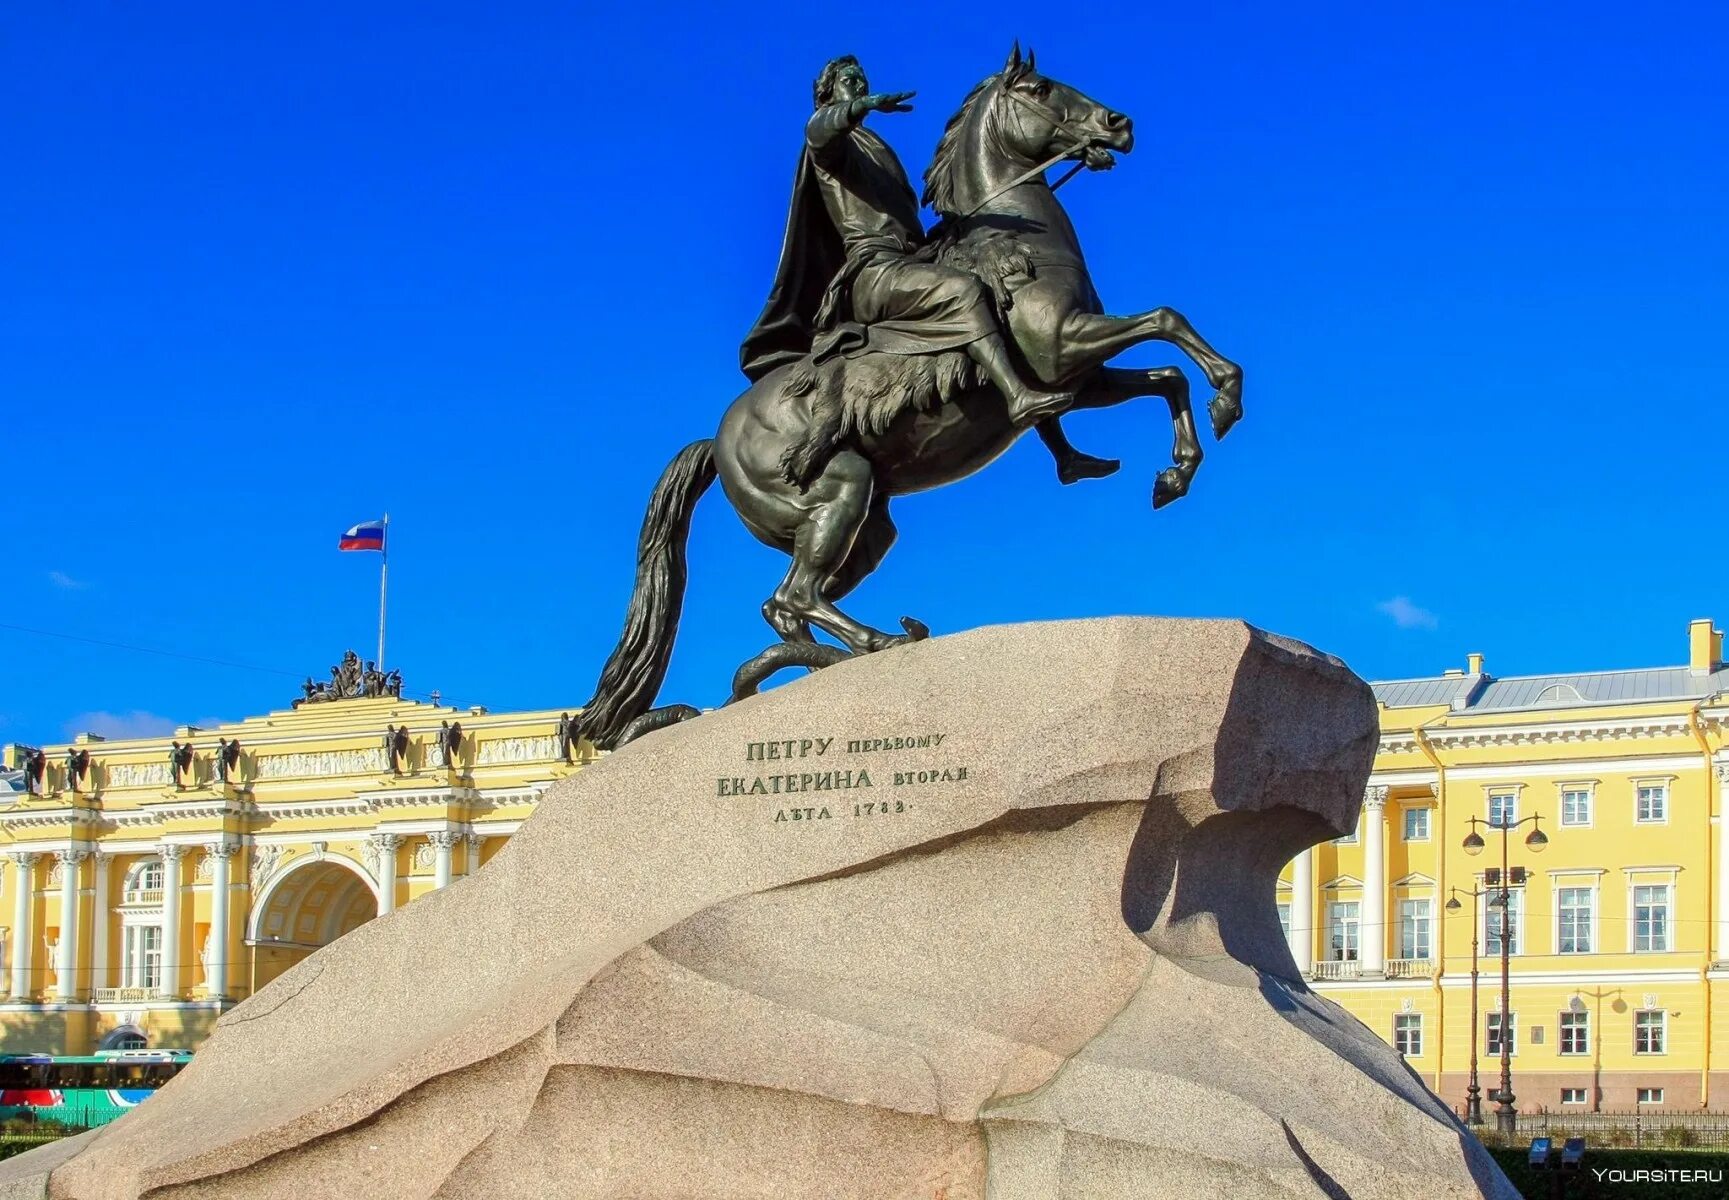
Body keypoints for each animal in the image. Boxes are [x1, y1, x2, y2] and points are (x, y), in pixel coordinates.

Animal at [577, 51, 1244, 757]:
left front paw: (1176, 471)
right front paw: (1227, 398)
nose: (1118, 125)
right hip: (841, 487)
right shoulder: (1063, 346)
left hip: (867, 526)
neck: (1016, 243)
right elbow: (1167, 321)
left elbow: (1166, 374)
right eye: (1039, 90)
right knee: (797, 594)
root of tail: (715, 439)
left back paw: (804, 668)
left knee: (783, 605)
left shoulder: (1081, 374)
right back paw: (879, 642)